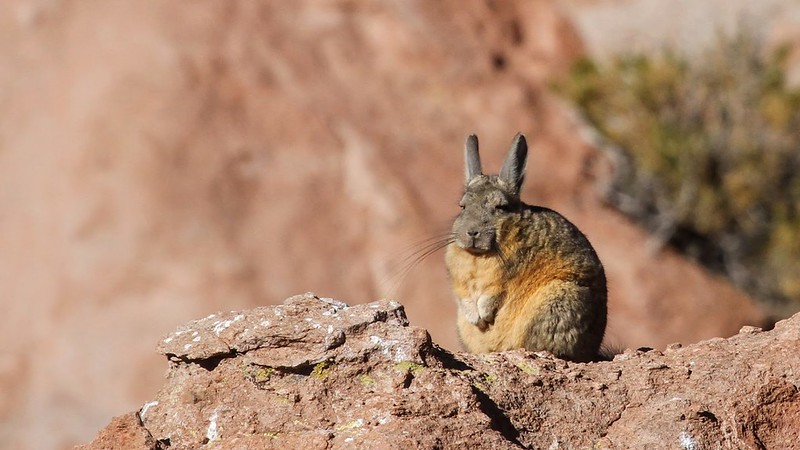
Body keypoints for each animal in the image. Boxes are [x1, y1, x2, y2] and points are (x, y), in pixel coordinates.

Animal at [444, 133, 607, 362]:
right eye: (462, 206)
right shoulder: (458, 280)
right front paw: (477, 319)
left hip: (558, 300)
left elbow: (492, 296)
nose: (472, 232)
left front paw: (484, 315)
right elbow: (464, 296)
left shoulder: (503, 281)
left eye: (501, 207)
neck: (478, 256)